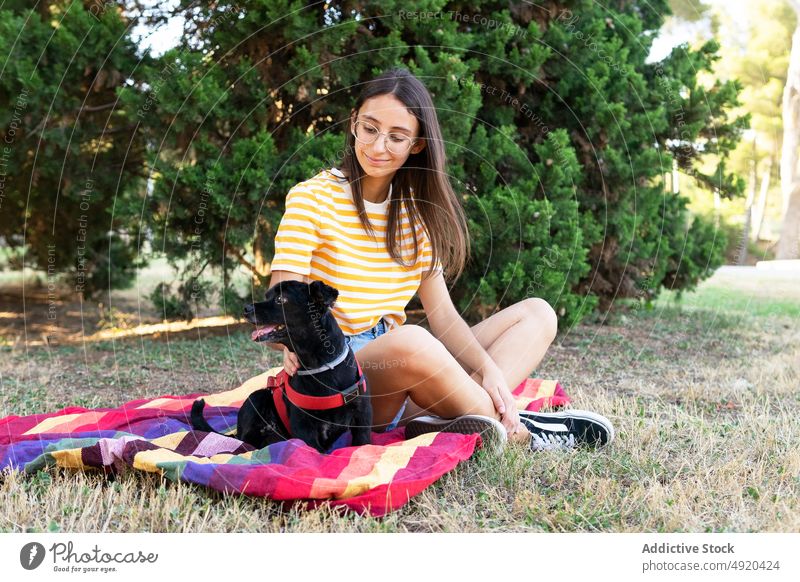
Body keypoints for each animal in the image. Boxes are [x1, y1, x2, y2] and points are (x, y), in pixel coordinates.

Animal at [190, 280, 372, 454]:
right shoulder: (303, 427)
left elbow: (362, 443)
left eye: (280, 299)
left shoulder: (362, 415)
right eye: (267, 295)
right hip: (255, 398)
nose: (246, 308)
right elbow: (316, 453)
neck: (320, 366)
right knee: (245, 441)